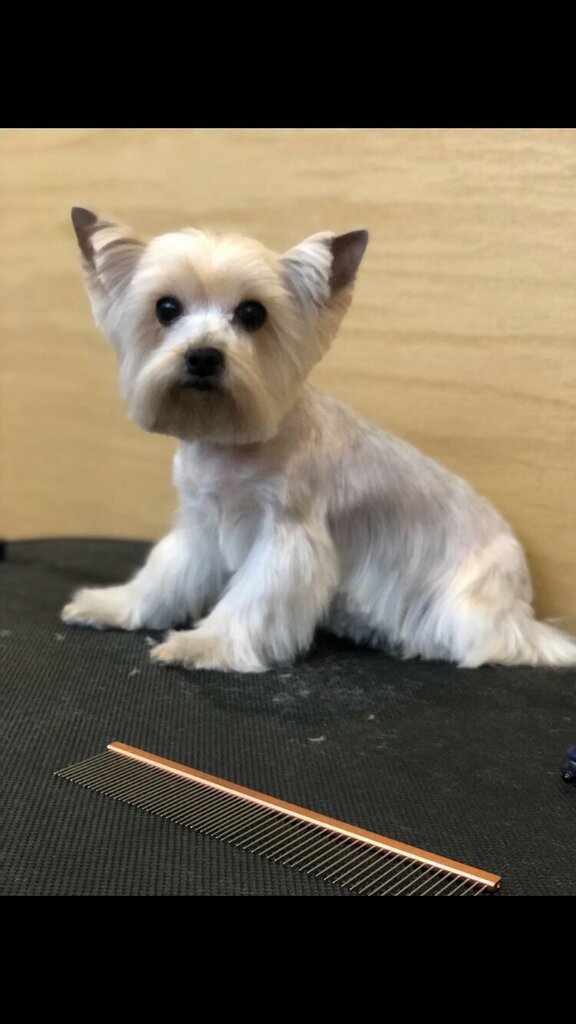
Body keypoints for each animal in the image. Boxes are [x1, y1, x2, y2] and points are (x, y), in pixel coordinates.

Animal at [62, 207, 576, 671]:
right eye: (166, 308)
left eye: (253, 313)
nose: (203, 356)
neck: (230, 442)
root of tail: (522, 601)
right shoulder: (200, 527)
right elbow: (162, 577)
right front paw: (111, 605)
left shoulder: (288, 538)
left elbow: (252, 600)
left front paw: (203, 645)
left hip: (471, 603)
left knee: (491, 643)